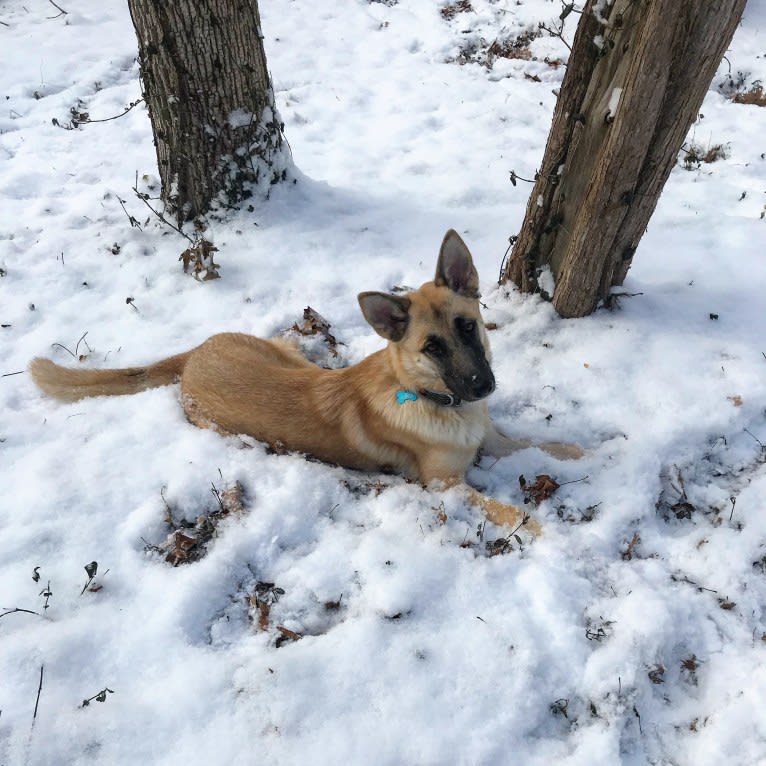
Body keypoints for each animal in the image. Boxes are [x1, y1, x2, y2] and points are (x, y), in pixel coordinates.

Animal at [28, 231, 584, 536]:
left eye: (467, 326)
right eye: (432, 347)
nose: (482, 386)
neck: (437, 400)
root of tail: (195, 357)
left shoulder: (492, 438)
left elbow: (539, 443)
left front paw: (582, 451)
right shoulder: (445, 486)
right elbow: (504, 508)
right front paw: (539, 528)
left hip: (284, 354)